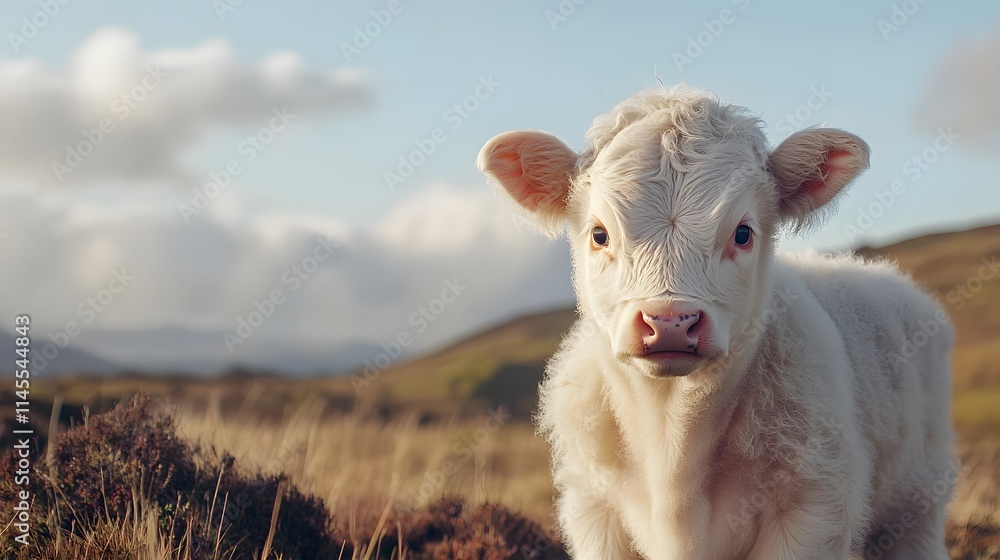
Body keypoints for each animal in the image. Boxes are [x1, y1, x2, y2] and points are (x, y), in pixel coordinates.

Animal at [477, 86, 955, 560]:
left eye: (742, 233)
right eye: (599, 234)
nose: (670, 322)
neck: (673, 449)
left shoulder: (813, 507)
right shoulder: (593, 508)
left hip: (917, 504)